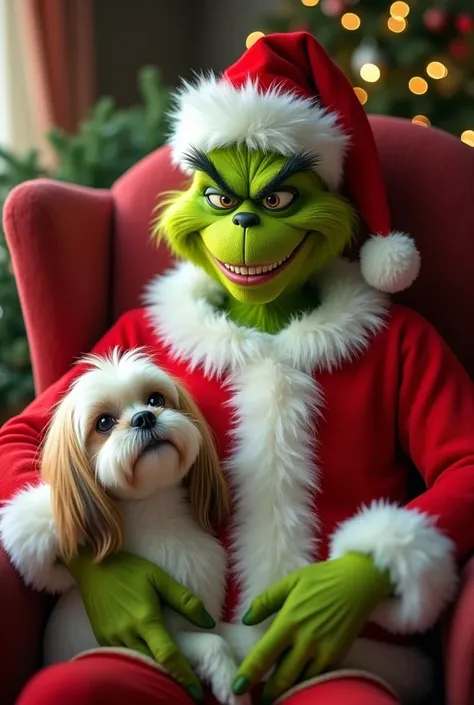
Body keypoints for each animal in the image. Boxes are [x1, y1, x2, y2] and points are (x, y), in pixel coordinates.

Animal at [0, 348, 250, 704]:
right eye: (103, 422)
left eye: (155, 399)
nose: (145, 417)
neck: (157, 516)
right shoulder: (161, 636)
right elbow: (212, 643)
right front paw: (230, 684)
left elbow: (239, 635)